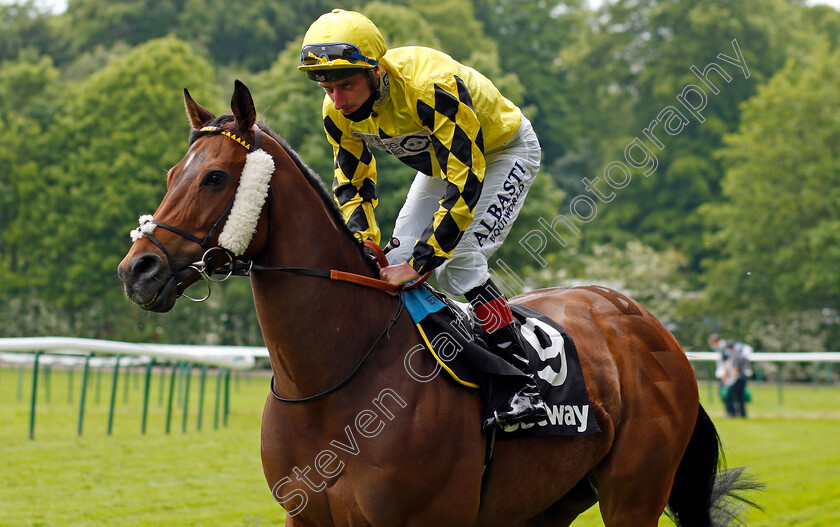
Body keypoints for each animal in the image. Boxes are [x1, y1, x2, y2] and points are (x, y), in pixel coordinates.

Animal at [116, 80, 756, 524]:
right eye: (174, 173)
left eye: (216, 178)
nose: (138, 270)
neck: (332, 381)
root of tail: (652, 328)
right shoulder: (308, 518)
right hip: (549, 503)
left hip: (634, 493)